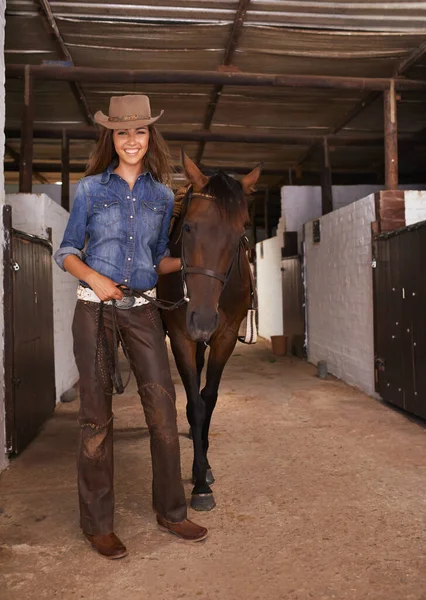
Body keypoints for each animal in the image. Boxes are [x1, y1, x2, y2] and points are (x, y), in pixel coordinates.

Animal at [158, 151, 262, 510]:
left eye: (240, 233)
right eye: (189, 227)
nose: (202, 320)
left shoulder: (225, 337)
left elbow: (210, 398)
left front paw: (203, 473)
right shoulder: (180, 336)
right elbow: (194, 405)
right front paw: (200, 482)